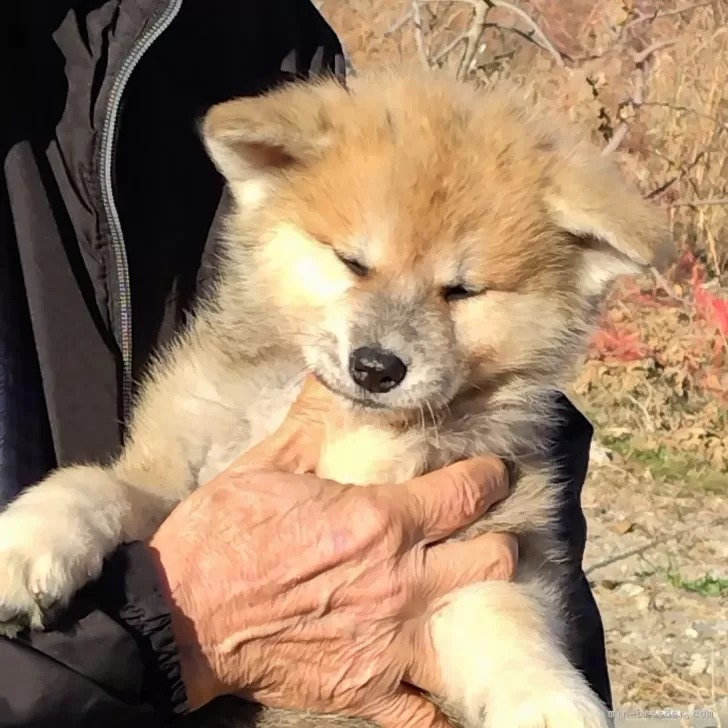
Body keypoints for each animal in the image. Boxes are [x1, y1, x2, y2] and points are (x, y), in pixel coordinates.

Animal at [0, 65, 672, 724]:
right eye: (352, 262)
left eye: (461, 291)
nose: (376, 367)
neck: (355, 431)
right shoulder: (173, 480)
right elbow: (92, 487)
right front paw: (25, 548)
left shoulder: (483, 542)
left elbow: (510, 623)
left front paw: (551, 700)